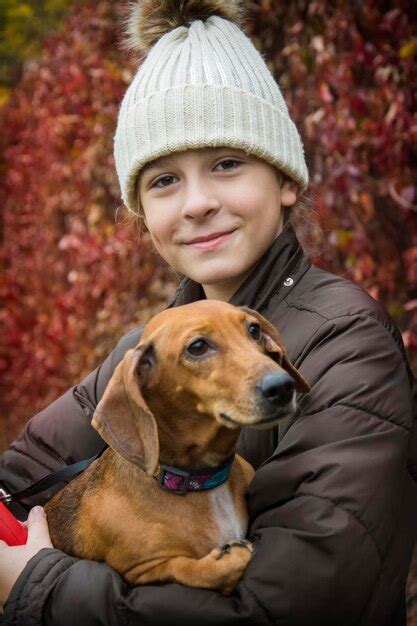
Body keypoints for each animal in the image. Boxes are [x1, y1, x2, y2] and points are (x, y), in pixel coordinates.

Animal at [44, 300, 308, 592]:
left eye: (254, 330)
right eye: (197, 347)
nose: (282, 386)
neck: (198, 481)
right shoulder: (139, 570)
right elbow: (183, 568)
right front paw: (224, 561)